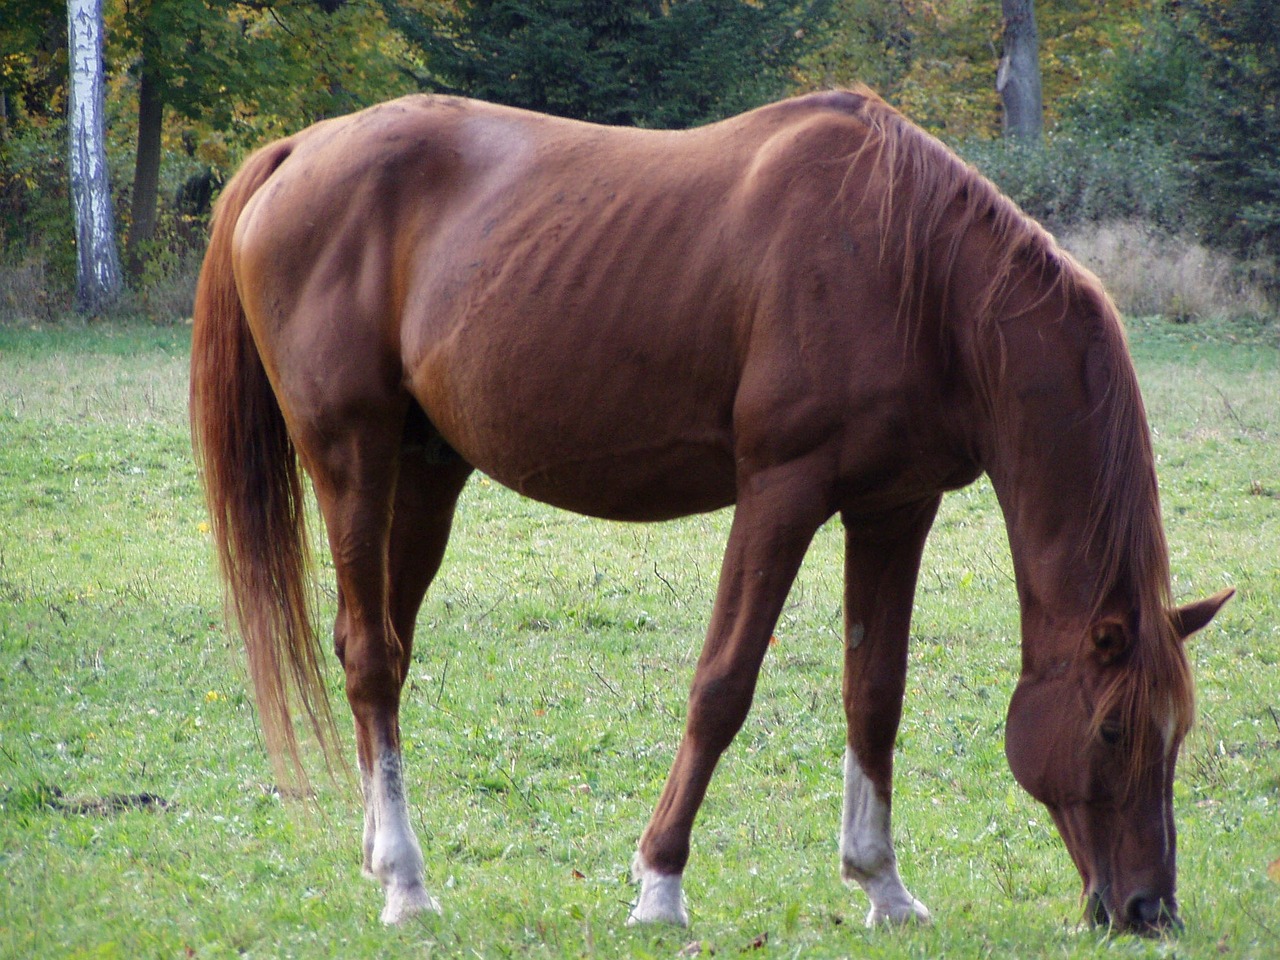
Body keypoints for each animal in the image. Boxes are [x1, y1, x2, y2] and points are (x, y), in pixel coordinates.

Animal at [186, 88, 1228, 931]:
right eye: (1114, 730)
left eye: (1174, 733)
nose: (1148, 910)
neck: (919, 278)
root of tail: (299, 151)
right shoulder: (781, 492)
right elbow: (723, 684)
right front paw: (660, 884)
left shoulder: (894, 508)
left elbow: (875, 693)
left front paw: (882, 886)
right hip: (351, 459)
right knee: (369, 658)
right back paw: (407, 883)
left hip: (427, 472)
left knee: (383, 652)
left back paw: (380, 856)